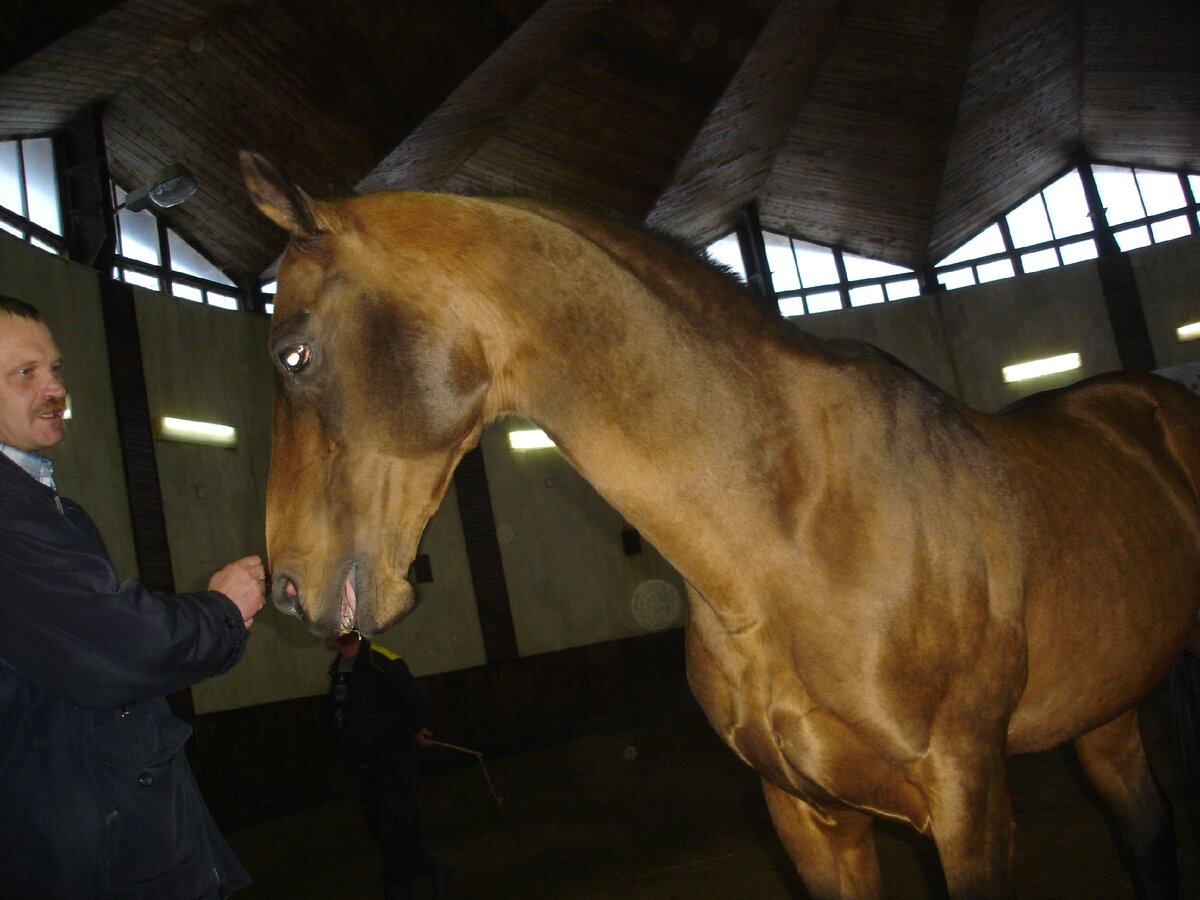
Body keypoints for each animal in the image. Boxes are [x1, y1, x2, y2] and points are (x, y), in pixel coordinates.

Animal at [241, 151, 1200, 897]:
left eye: (294, 353)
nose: (284, 585)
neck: (789, 541)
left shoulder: (970, 806)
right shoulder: (809, 818)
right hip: (1104, 717)